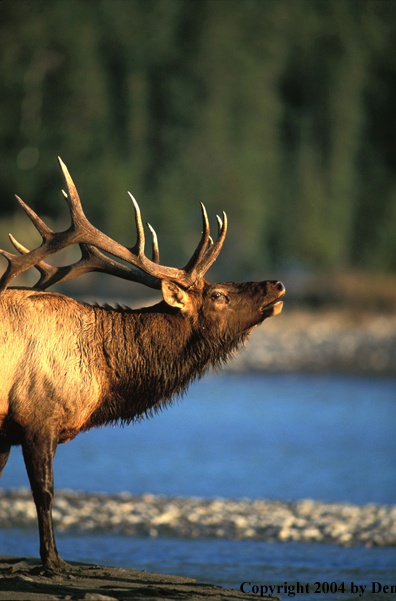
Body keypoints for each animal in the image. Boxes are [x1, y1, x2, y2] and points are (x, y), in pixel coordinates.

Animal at [0, 157, 284, 568]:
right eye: (218, 295)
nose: (277, 284)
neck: (103, 378)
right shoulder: (38, 418)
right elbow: (45, 492)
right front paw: (53, 562)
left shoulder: (8, 431)